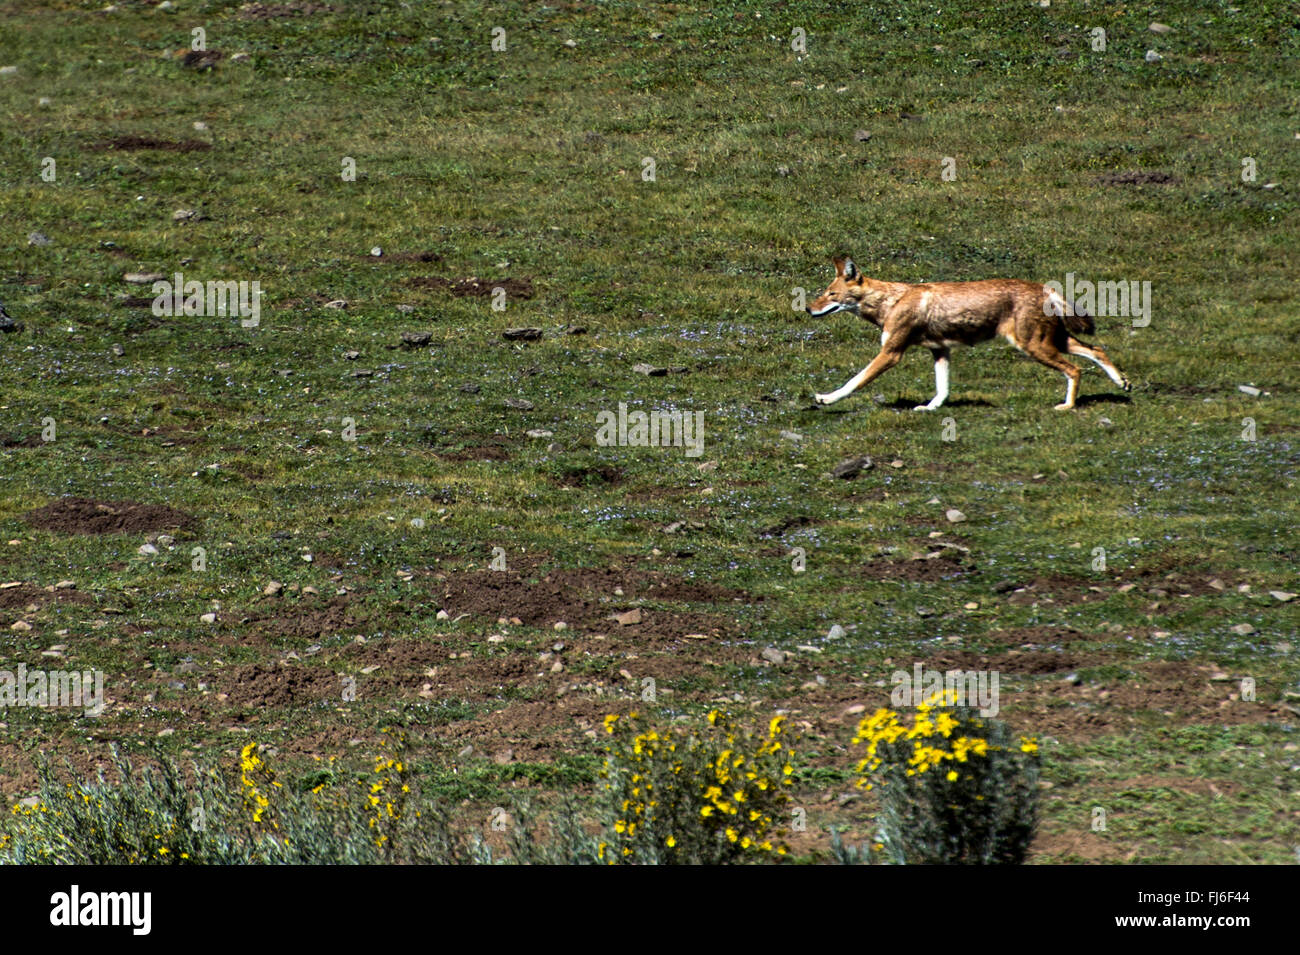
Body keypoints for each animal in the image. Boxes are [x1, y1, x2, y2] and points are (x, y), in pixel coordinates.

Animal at [811, 257, 1128, 410]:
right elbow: (943, 389)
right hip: (1051, 342)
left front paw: (826, 398)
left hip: (1033, 346)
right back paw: (1123, 383)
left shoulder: (891, 353)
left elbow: (854, 381)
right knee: (1097, 350)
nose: (807, 308)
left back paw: (1067, 406)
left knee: (1075, 369)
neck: (890, 301)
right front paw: (930, 408)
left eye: (830, 294)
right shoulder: (940, 350)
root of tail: (1044, 287)